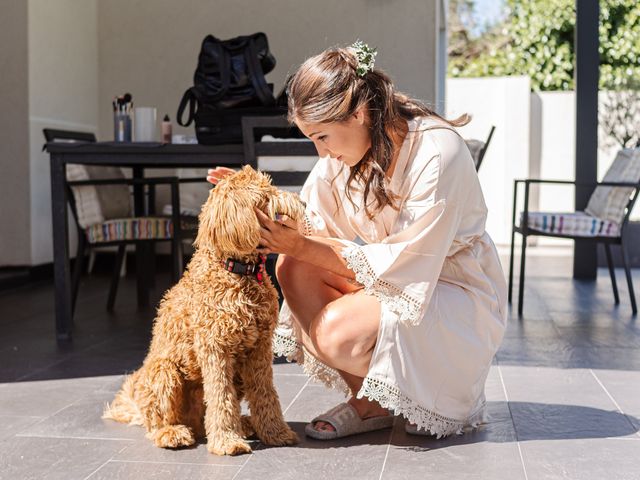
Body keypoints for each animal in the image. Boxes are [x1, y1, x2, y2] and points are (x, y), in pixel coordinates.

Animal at [104, 167, 304, 456]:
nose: (303, 203)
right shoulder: (214, 348)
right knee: (158, 422)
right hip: (164, 372)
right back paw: (173, 433)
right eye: (266, 195)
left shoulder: (260, 349)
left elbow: (265, 392)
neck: (237, 270)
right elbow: (220, 396)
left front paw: (276, 432)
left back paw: (244, 424)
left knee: (204, 420)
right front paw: (228, 441)